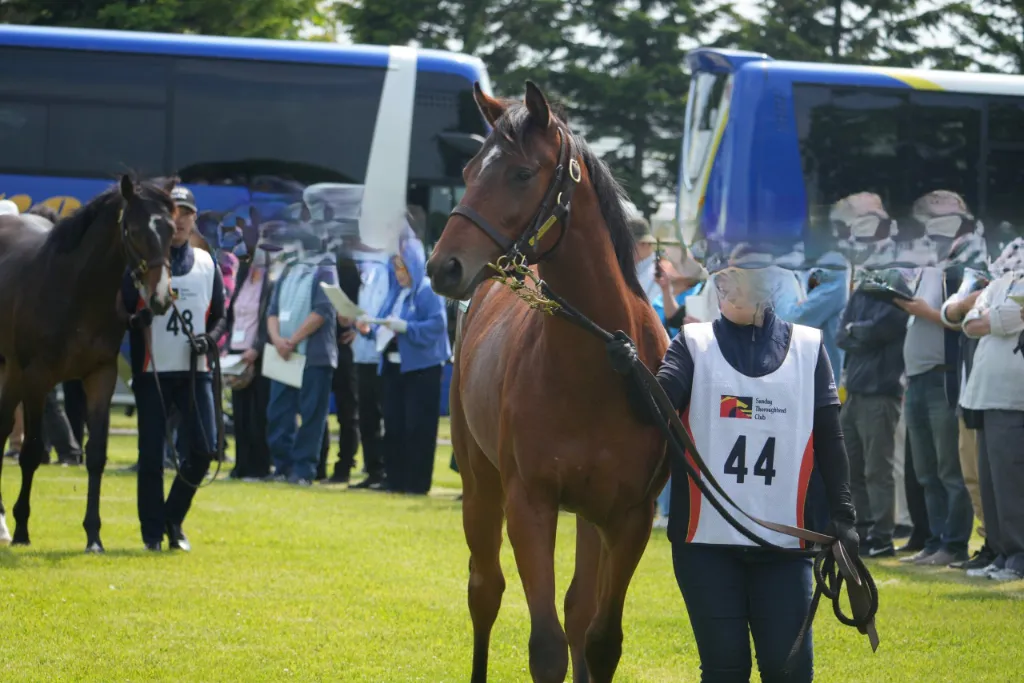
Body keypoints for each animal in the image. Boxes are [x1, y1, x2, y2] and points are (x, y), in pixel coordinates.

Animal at [0, 175, 178, 551]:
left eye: (171, 229)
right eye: (134, 230)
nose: (160, 297)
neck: (75, 291)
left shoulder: (101, 377)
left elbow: (96, 455)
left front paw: (94, 535)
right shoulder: (36, 378)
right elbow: (31, 452)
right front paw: (22, 530)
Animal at [425, 82, 669, 683]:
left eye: (520, 172)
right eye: (468, 170)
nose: (443, 266)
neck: (599, 361)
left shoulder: (629, 515)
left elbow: (599, 639)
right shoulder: (529, 502)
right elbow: (547, 646)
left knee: (579, 609)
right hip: (479, 481)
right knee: (485, 590)